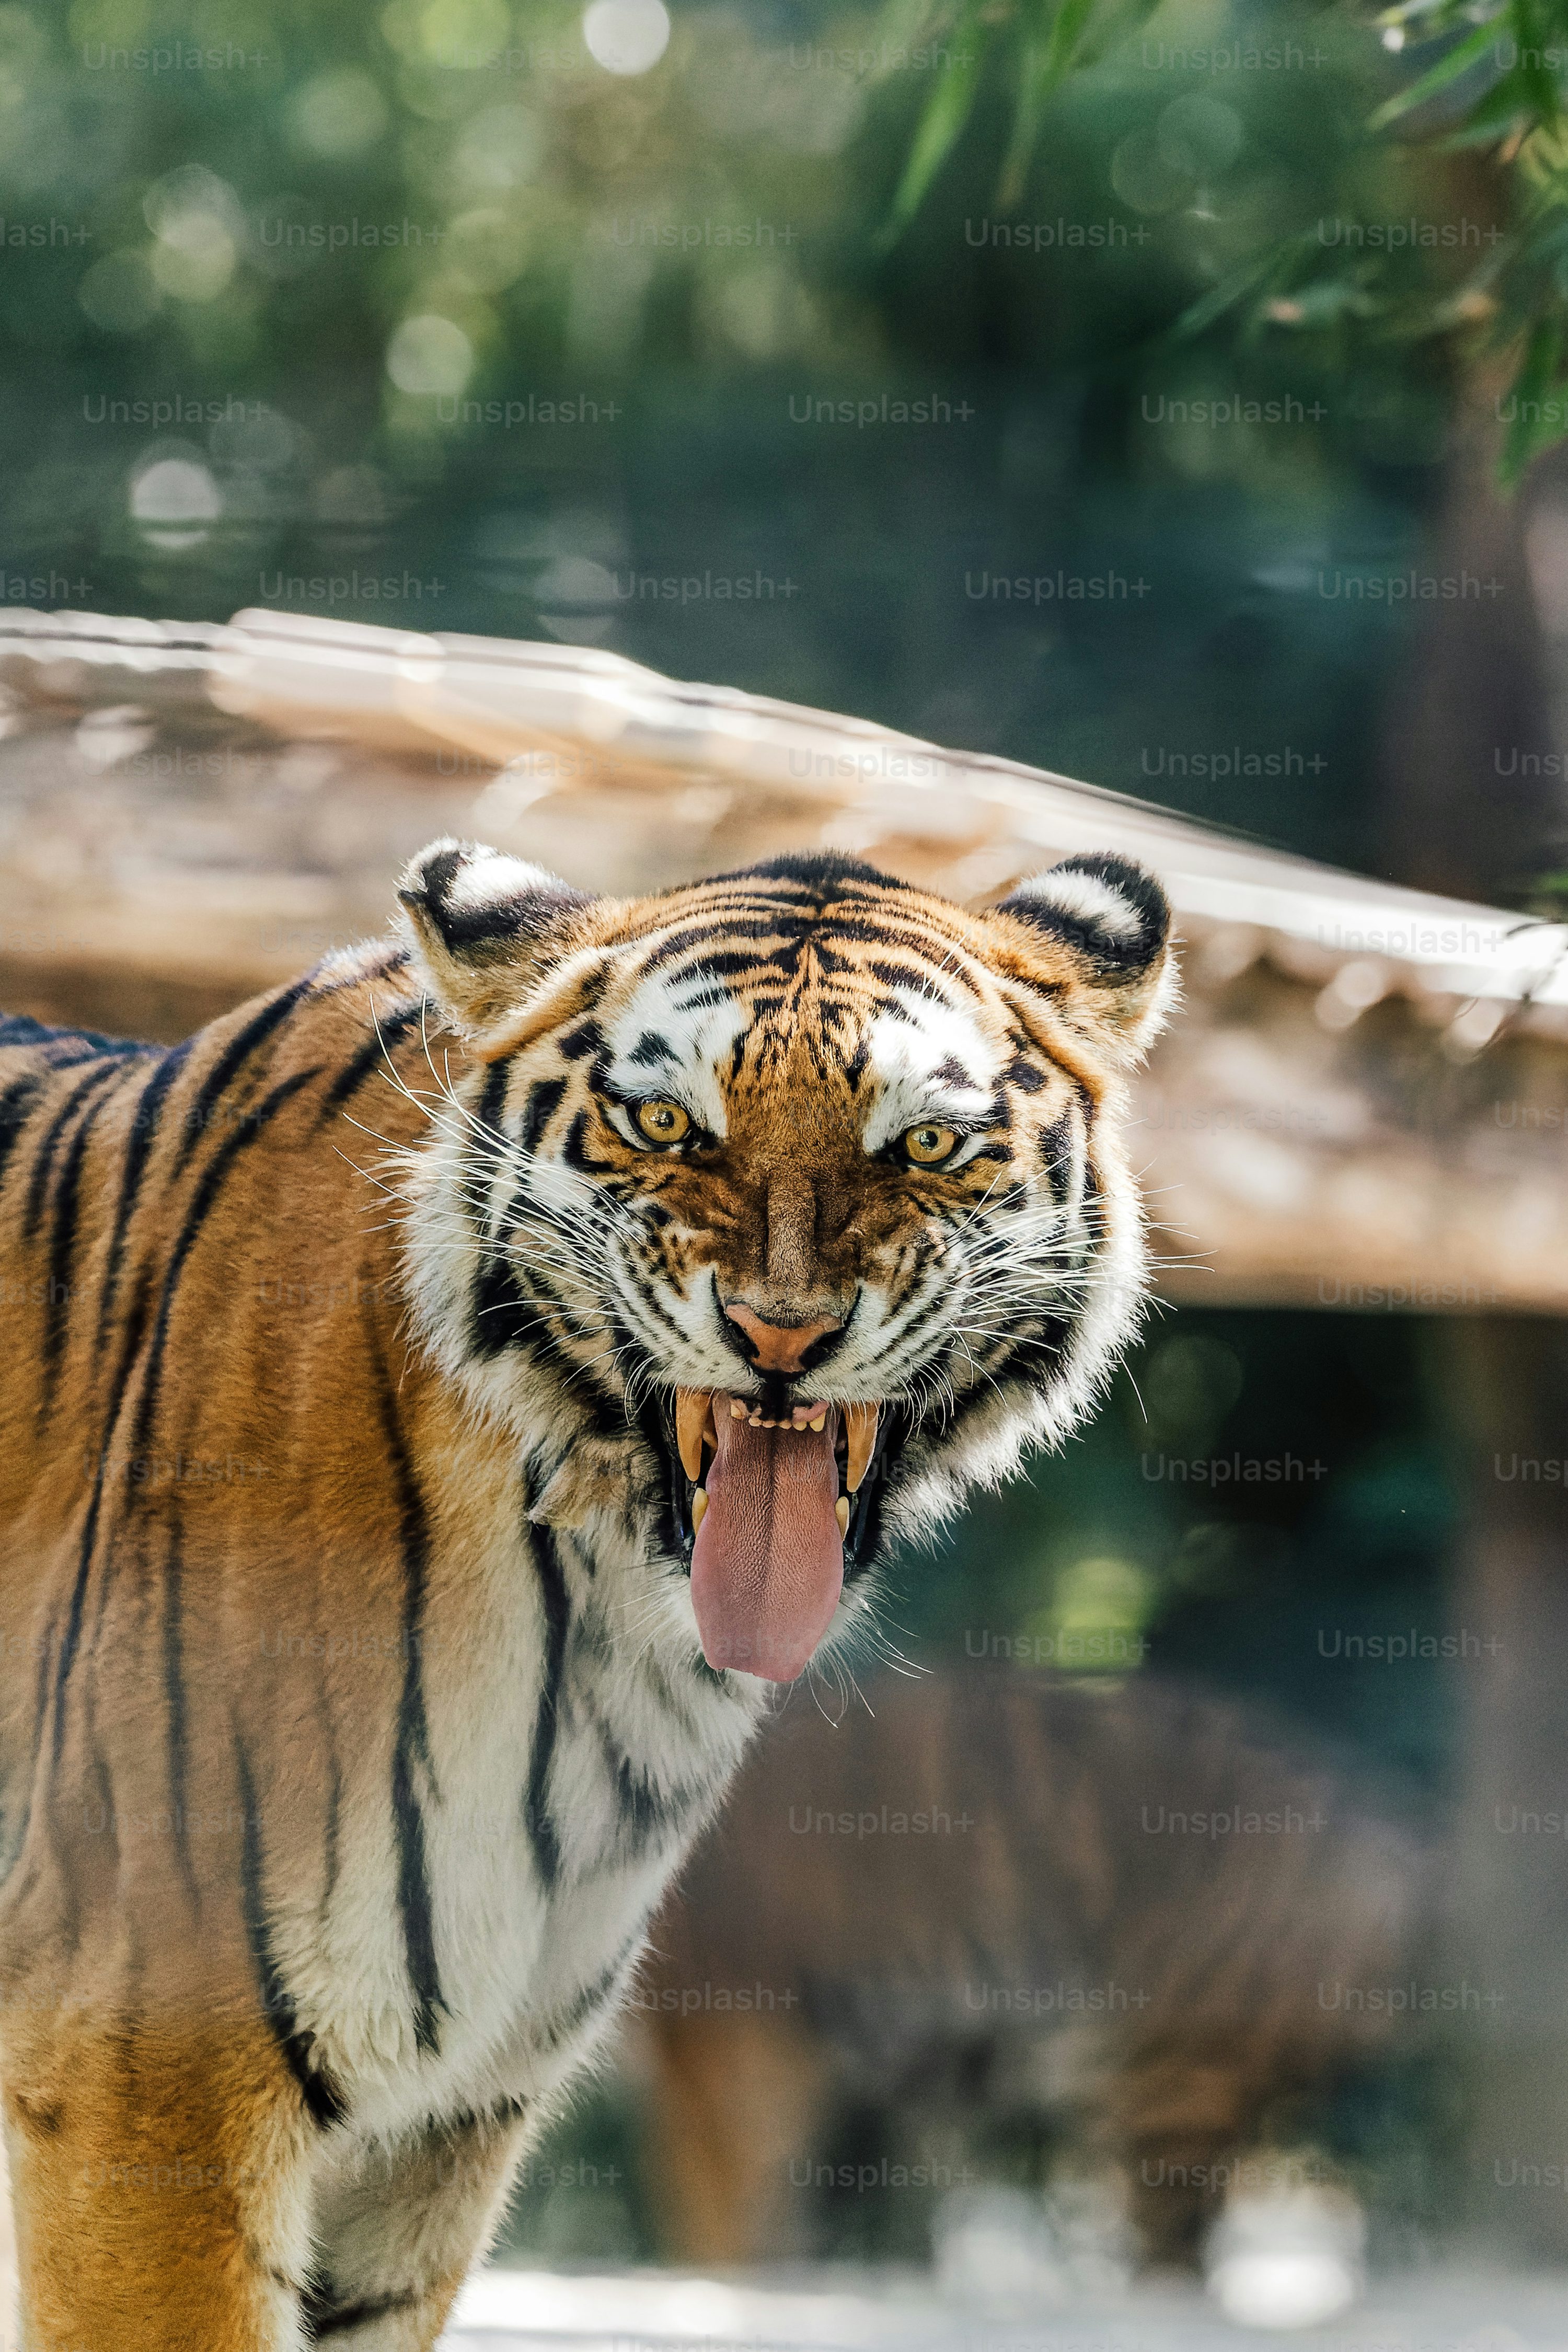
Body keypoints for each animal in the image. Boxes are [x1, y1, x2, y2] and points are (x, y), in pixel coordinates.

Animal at [0, 839, 1172, 2349]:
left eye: (921, 1142)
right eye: (668, 1124)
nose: (781, 1332)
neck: (609, 1609)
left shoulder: (438, 2119)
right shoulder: (149, 2052)